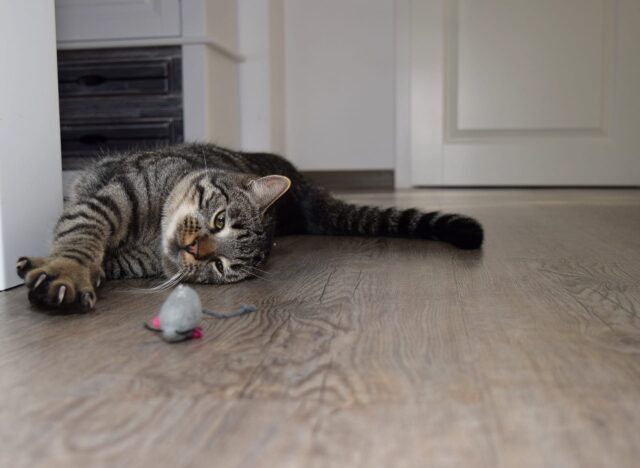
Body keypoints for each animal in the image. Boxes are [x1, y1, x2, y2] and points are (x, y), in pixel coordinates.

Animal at [15, 143, 482, 310]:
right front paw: (66, 271)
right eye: (220, 220)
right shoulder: (116, 197)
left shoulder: (131, 254)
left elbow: (95, 250)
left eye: (220, 267)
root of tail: (306, 190)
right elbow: (81, 237)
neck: (149, 238)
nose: (195, 250)